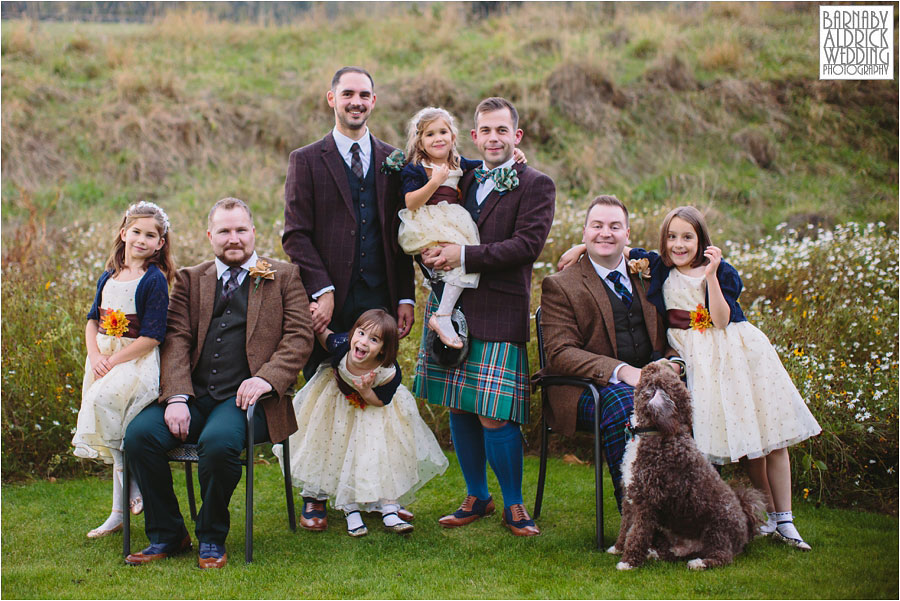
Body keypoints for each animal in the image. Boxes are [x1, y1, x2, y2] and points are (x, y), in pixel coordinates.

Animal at [608, 358, 764, 568]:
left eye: (651, 373)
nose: (664, 361)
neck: (654, 432)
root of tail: (745, 530)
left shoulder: (646, 501)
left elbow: (637, 533)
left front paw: (628, 562)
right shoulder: (629, 495)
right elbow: (625, 526)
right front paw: (617, 548)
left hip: (716, 530)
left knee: (722, 557)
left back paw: (699, 563)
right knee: (673, 554)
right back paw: (656, 553)